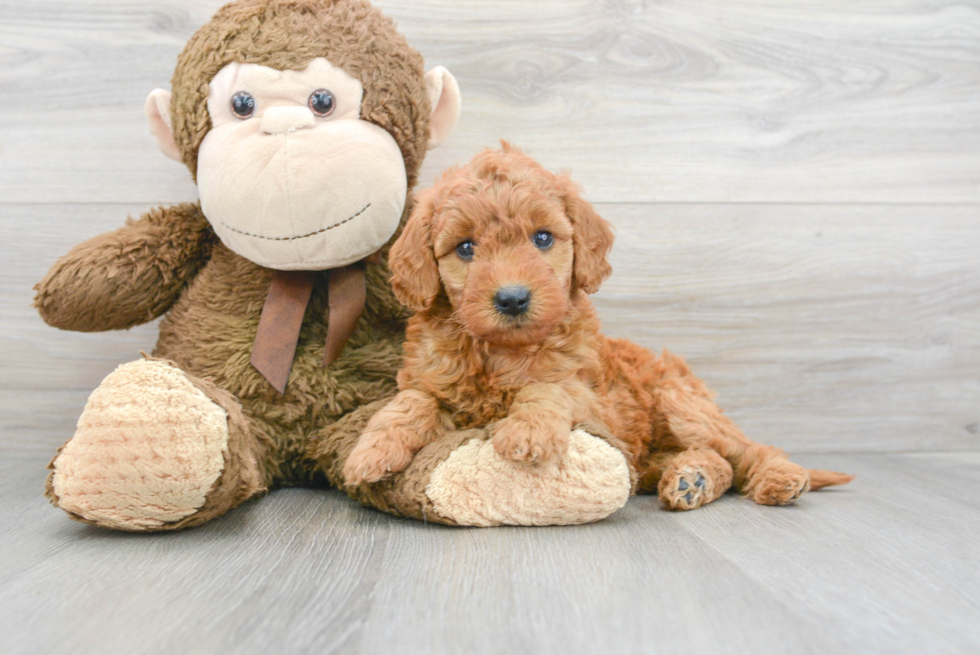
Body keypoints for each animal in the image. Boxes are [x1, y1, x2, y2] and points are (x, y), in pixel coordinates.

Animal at [344, 146, 848, 510]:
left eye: (543, 238)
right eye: (466, 248)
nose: (512, 298)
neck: (503, 352)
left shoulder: (590, 398)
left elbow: (548, 387)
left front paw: (527, 431)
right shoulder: (430, 379)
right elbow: (411, 402)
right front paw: (370, 452)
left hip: (682, 404)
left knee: (745, 449)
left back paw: (780, 476)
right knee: (713, 459)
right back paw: (694, 479)